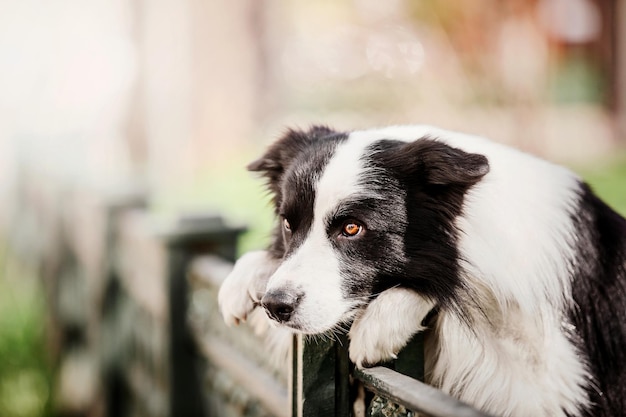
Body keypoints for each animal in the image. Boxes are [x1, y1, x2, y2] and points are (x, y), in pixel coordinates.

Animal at [218, 124, 624, 416]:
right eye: (289, 224)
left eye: (352, 228)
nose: (276, 306)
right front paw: (244, 277)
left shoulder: (541, 385)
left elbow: (443, 282)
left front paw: (382, 322)